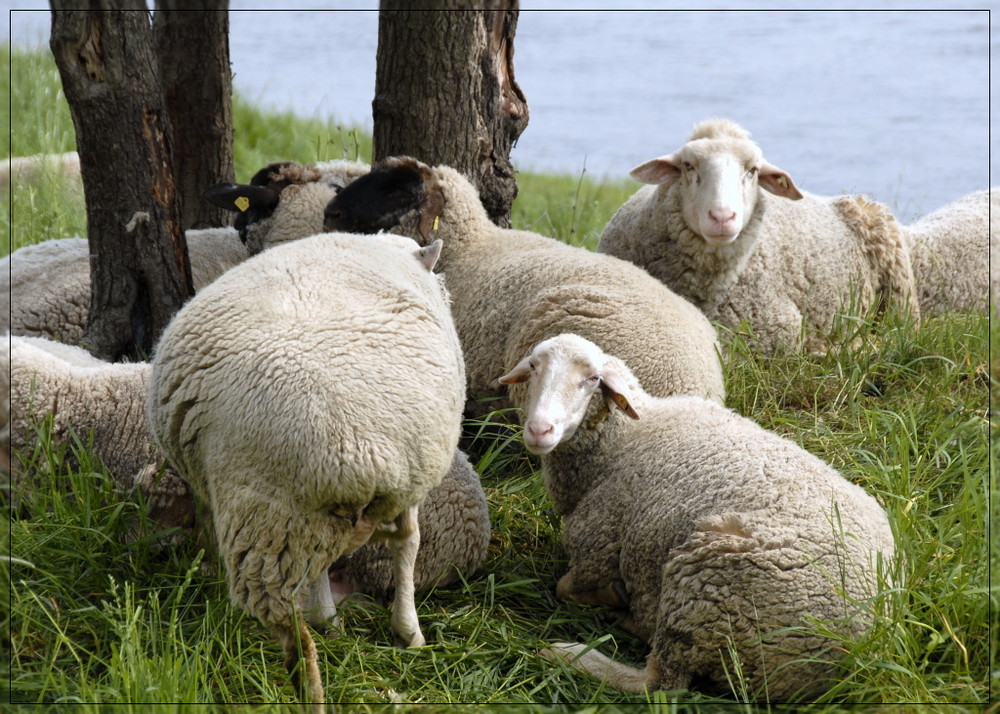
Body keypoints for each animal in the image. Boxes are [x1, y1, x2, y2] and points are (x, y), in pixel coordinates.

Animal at [146, 231, 466, 704]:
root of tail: (344, 446)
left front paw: (334, 617)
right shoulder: (412, 482)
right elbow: (409, 545)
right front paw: (408, 630)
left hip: (276, 518)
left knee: (297, 598)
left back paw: (320, 634)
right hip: (280, 515)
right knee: (296, 630)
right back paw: (314, 690)